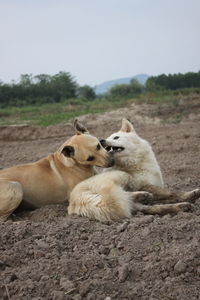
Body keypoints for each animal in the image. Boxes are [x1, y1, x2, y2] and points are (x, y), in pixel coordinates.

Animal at [68, 118, 199, 221]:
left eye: (116, 137)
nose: (101, 140)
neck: (134, 163)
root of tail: (75, 201)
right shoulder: (142, 184)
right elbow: (170, 192)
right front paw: (191, 193)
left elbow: (167, 195)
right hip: (121, 179)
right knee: (124, 195)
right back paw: (144, 195)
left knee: (147, 207)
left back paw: (182, 206)